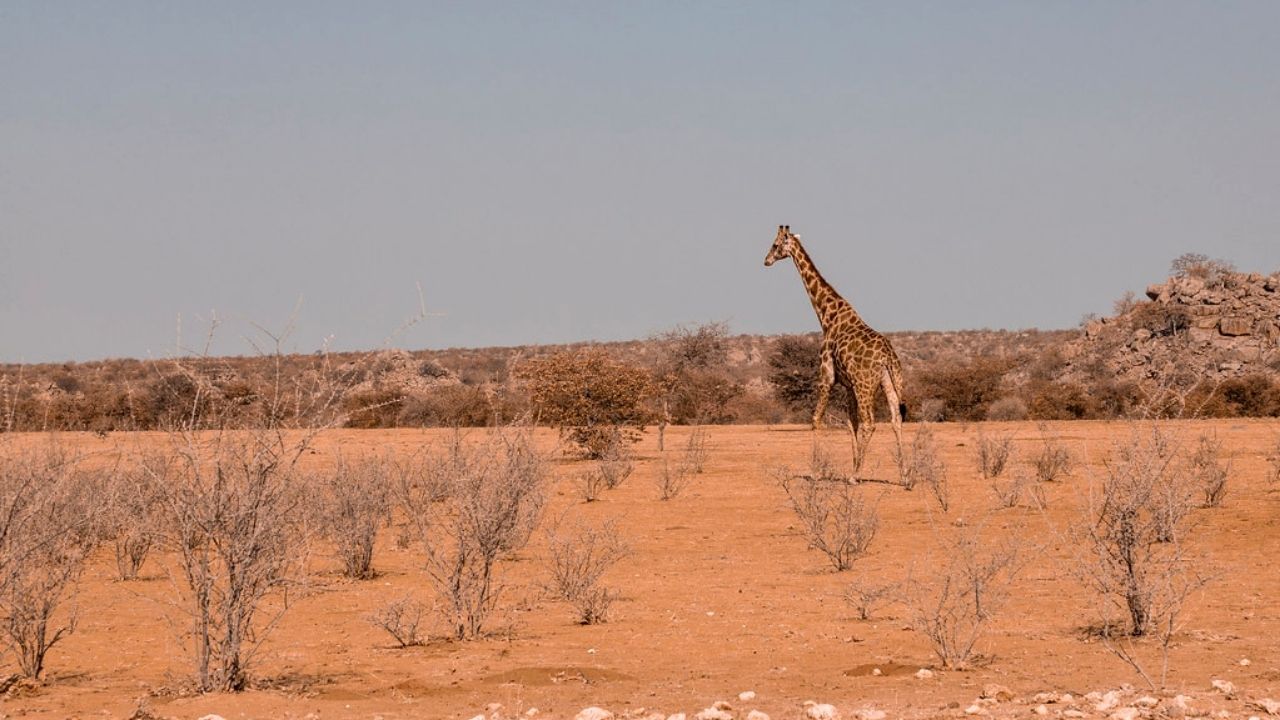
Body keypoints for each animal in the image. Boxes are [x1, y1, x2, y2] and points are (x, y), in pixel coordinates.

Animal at [764, 225, 907, 473]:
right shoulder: (847, 385)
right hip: (890, 381)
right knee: (896, 419)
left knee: (870, 423)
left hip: (865, 384)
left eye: (775, 245)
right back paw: (905, 474)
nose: (766, 260)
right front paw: (853, 463)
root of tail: (888, 356)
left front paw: (816, 470)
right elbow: (851, 424)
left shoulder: (826, 377)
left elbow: (816, 421)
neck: (826, 316)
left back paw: (857, 475)